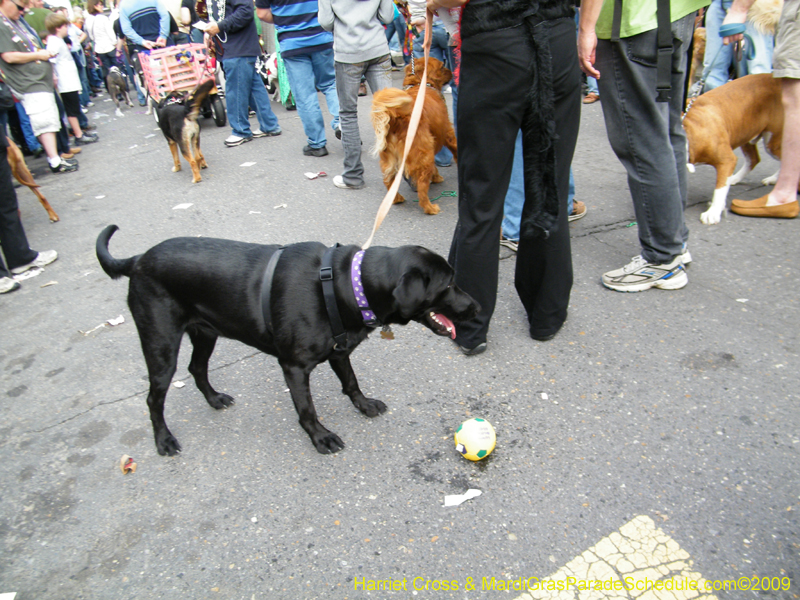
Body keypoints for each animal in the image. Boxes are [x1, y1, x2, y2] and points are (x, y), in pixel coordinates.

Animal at [97, 227, 478, 458]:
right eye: (447, 285)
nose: (475, 306)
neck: (347, 284)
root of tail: (138, 260)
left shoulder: (339, 350)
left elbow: (351, 382)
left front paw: (364, 404)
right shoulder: (294, 367)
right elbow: (307, 409)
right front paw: (320, 437)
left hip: (206, 332)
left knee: (196, 368)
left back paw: (214, 399)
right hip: (161, 347)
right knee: (154, 398)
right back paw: (163, 440)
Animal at [684, 74, 784, 224]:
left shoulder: (727, 160)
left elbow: (719, 190)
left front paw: (713, 212)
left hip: (772, 142)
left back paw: (773, 179)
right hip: (746, 131)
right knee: (753, 159)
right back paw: (734, 178)